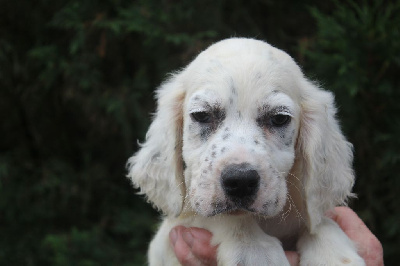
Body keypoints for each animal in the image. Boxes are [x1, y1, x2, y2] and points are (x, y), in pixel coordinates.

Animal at [126, 38, 364, 266]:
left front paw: (334, 255)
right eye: (201, 115)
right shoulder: (171, 236)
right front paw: (254, 249)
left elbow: (320, 222)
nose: (240, 181)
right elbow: (218, 216)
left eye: (279, 118)